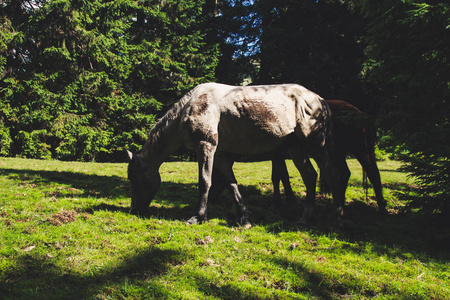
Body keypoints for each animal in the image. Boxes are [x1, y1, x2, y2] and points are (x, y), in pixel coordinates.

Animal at [125, 82, 342, 227]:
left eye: (135, 179)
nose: (134, 210)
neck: (188, 108)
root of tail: (320, 100)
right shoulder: (220, 156)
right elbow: (232, 185)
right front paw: (244, 218)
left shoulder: (206, 147)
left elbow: (205, 181)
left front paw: (199, 216)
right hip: (296, 150)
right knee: (310, 176)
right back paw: (306, 217)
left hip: (315, 145)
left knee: (333, 174)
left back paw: (337, 215)